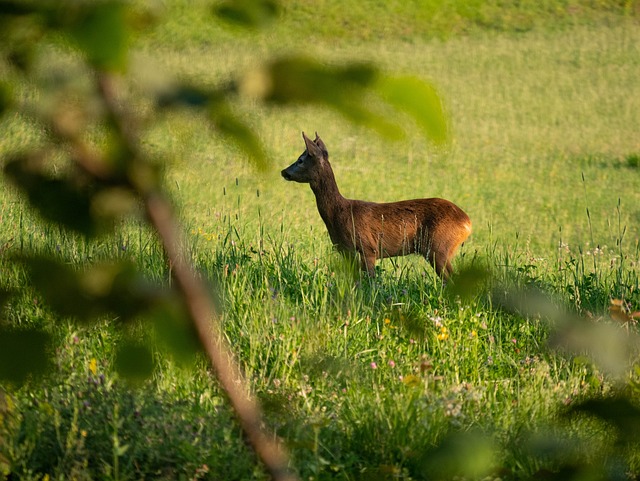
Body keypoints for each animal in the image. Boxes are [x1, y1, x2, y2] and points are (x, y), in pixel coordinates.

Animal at [280, 131, 470, 280]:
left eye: (300, 160)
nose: (283, 171)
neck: (339, 212)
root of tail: (467, 222)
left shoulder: (368, 248)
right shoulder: (345, 250)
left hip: (439, 247)